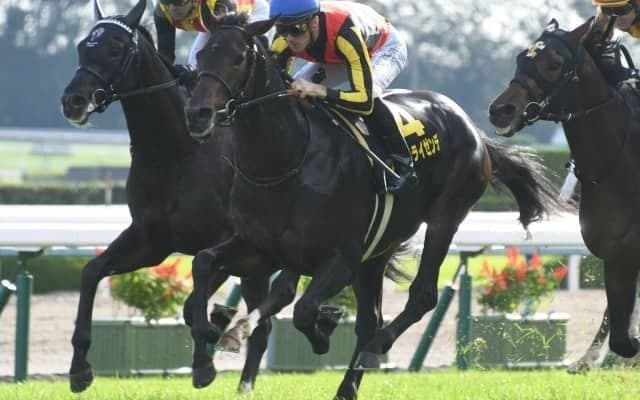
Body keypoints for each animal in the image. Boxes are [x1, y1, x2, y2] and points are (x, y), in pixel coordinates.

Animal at [59, 0, 295, 393]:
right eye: (82, 46)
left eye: (116, 48)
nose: (73, 101)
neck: (175, 152)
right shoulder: (150, 241)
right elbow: (91, 272)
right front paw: (79, 369)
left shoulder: (225, 242)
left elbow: (193, 298)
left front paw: (204, 360)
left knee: (264, 323)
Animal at [183, 13, 562, 399]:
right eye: (201, 57)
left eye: (237, 59)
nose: (198, 113)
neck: (288, 159)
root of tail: (475, 131)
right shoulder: (261, 248)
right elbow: (204, 263)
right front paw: (206, 352)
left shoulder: (340, 258)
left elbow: (303, 309)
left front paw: (321, 333)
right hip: (378, 249)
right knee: (368, 320)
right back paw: (344, 383)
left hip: (444, 218)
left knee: (419, 297)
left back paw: (374, 348)